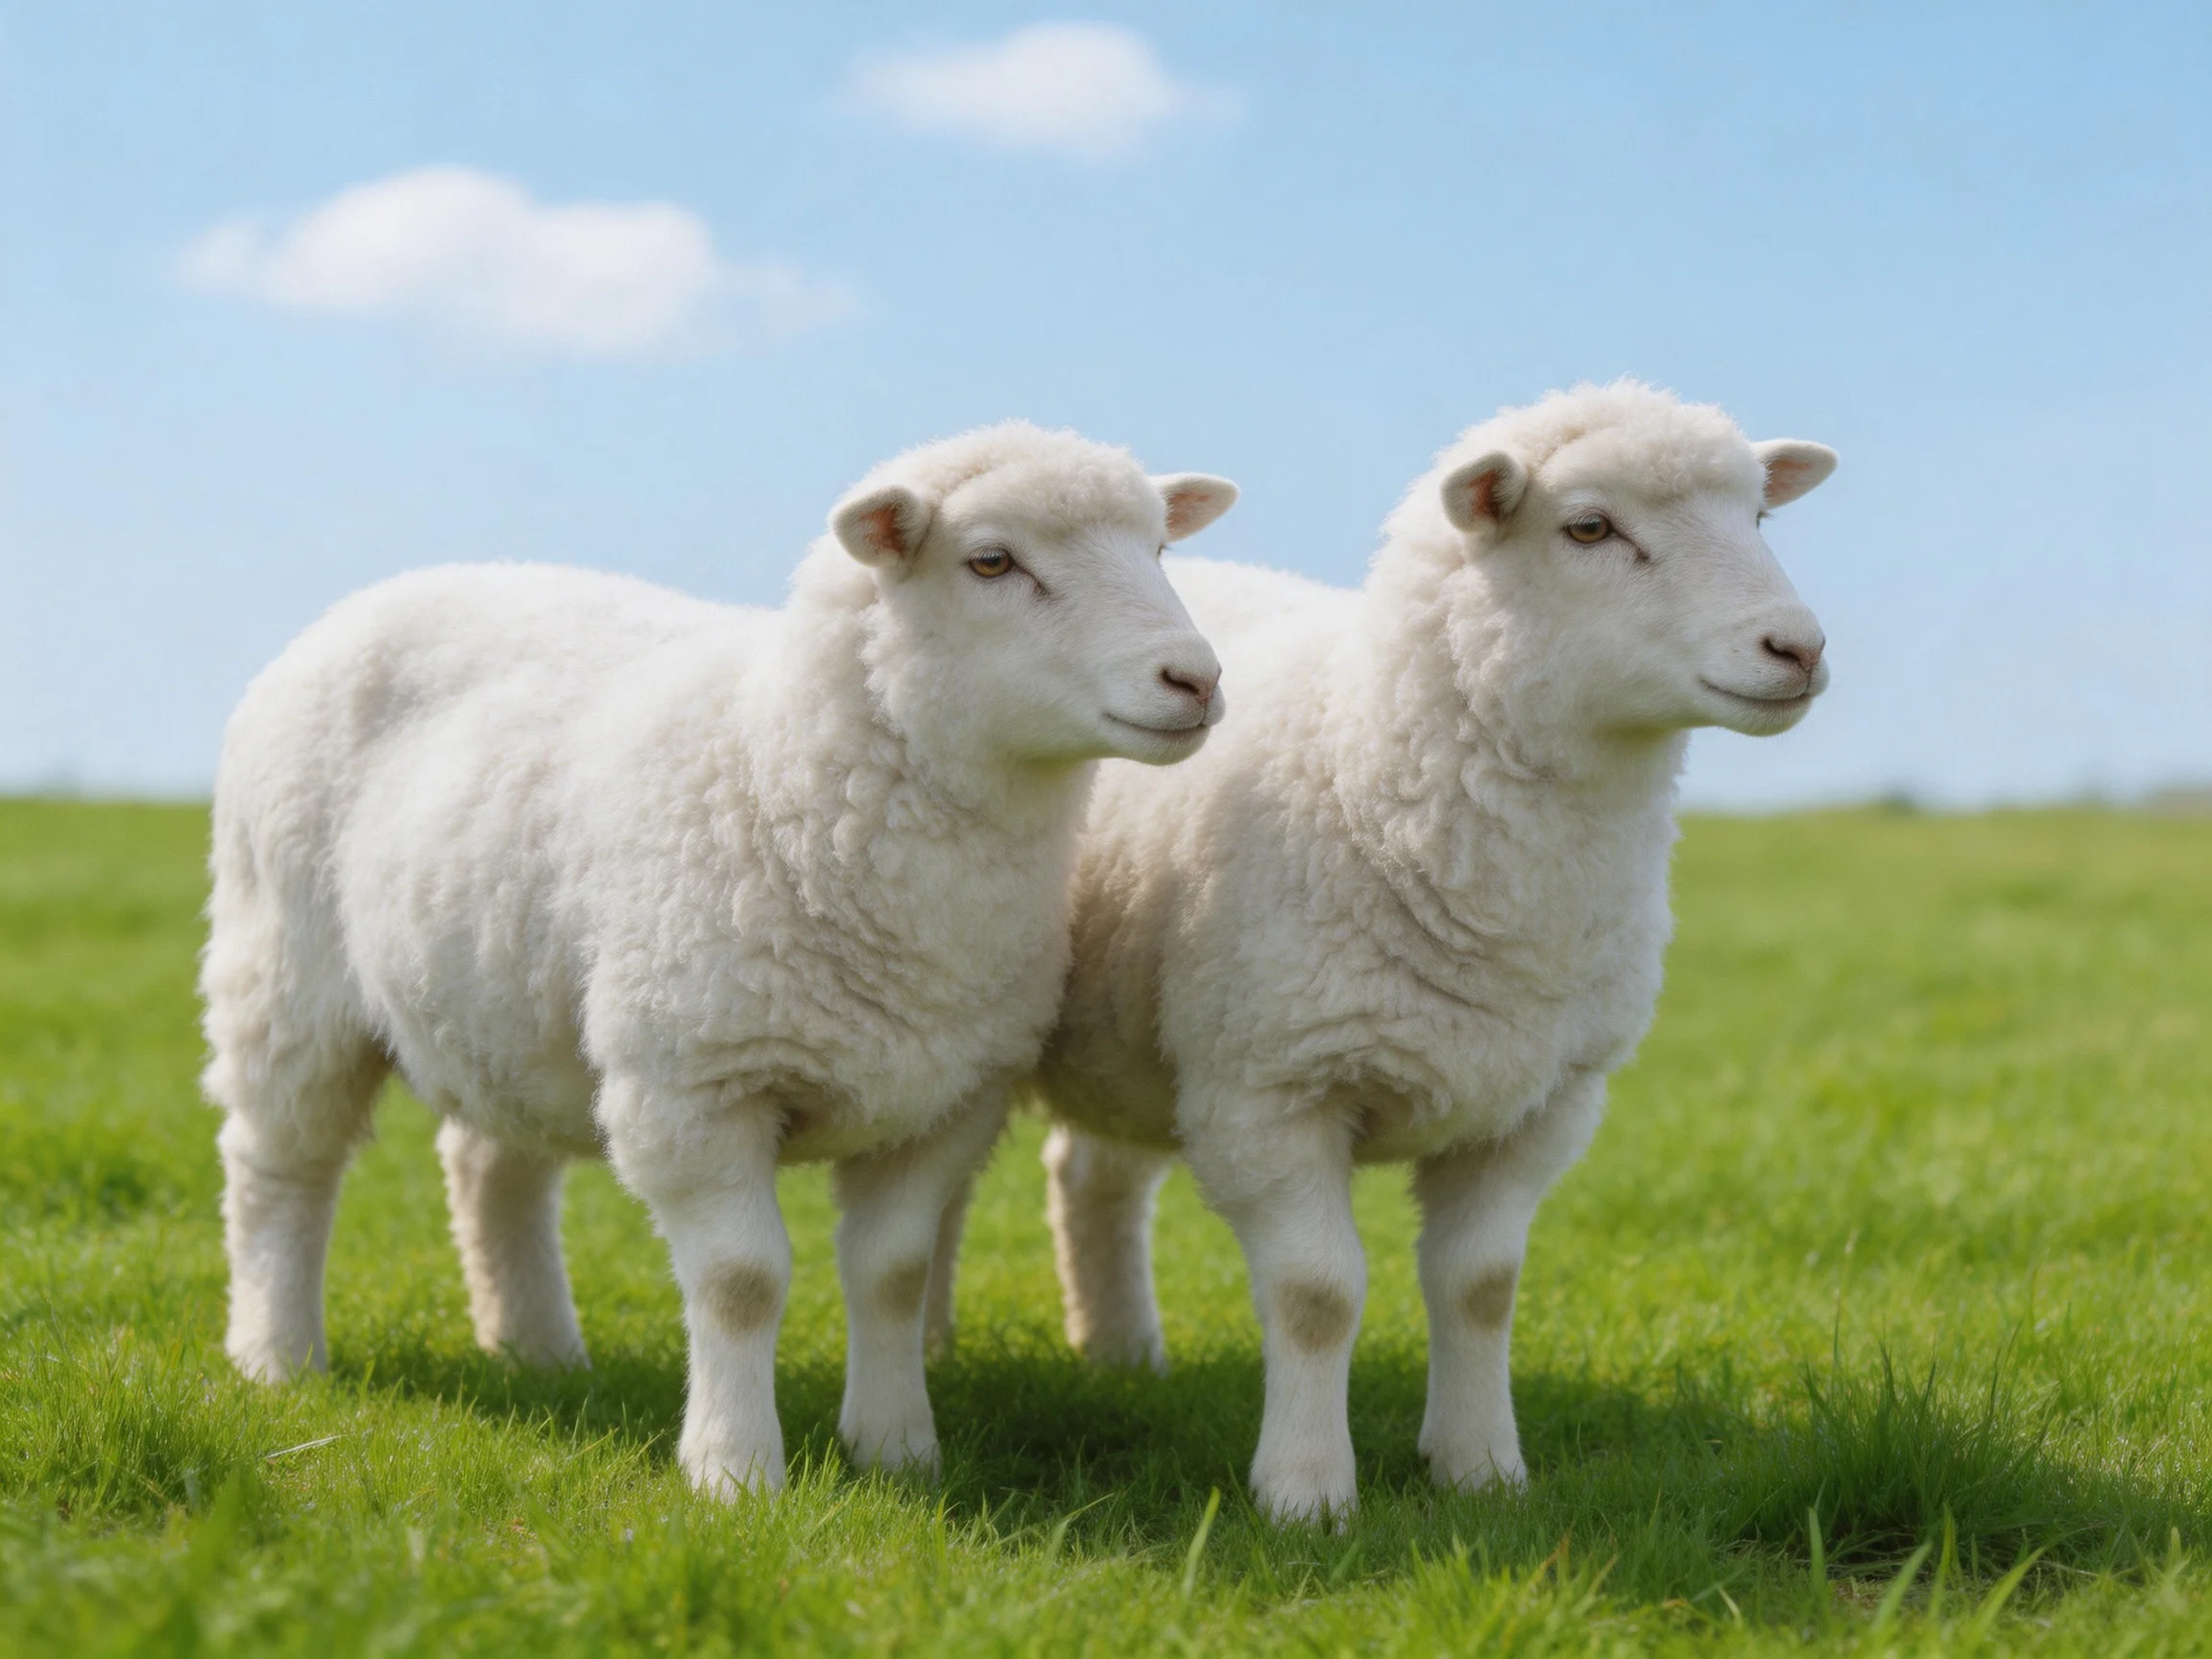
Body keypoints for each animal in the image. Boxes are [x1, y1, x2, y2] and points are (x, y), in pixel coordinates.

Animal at [198, 421, 1239, 1498]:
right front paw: (734, 1472)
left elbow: (893, 1275)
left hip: (510, 1006)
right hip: (284, 975)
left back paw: (539, 1352)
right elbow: (743, 1281)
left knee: (492, 1167)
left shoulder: (946, 1100)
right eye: (991, 561)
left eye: (1161, 549)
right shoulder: (694, 1085)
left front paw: (899, 1452)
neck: (782, 768)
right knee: (279, 1165)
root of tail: (376, 596)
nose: (1196, 680)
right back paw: (275, 1355)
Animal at [1008, 382, 1836, 1521]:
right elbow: (1317, 1294)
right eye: (1589, 527)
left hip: (1134, 1035)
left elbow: (1481, 1288)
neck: (1369, 765)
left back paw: (1124, 1357)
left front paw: (1481, 1470)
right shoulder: (1269, 1089)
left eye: (1758, 517)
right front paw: (1306, 1493)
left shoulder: (1544, 1102)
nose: (1798, 650)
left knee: (1093, 1172)